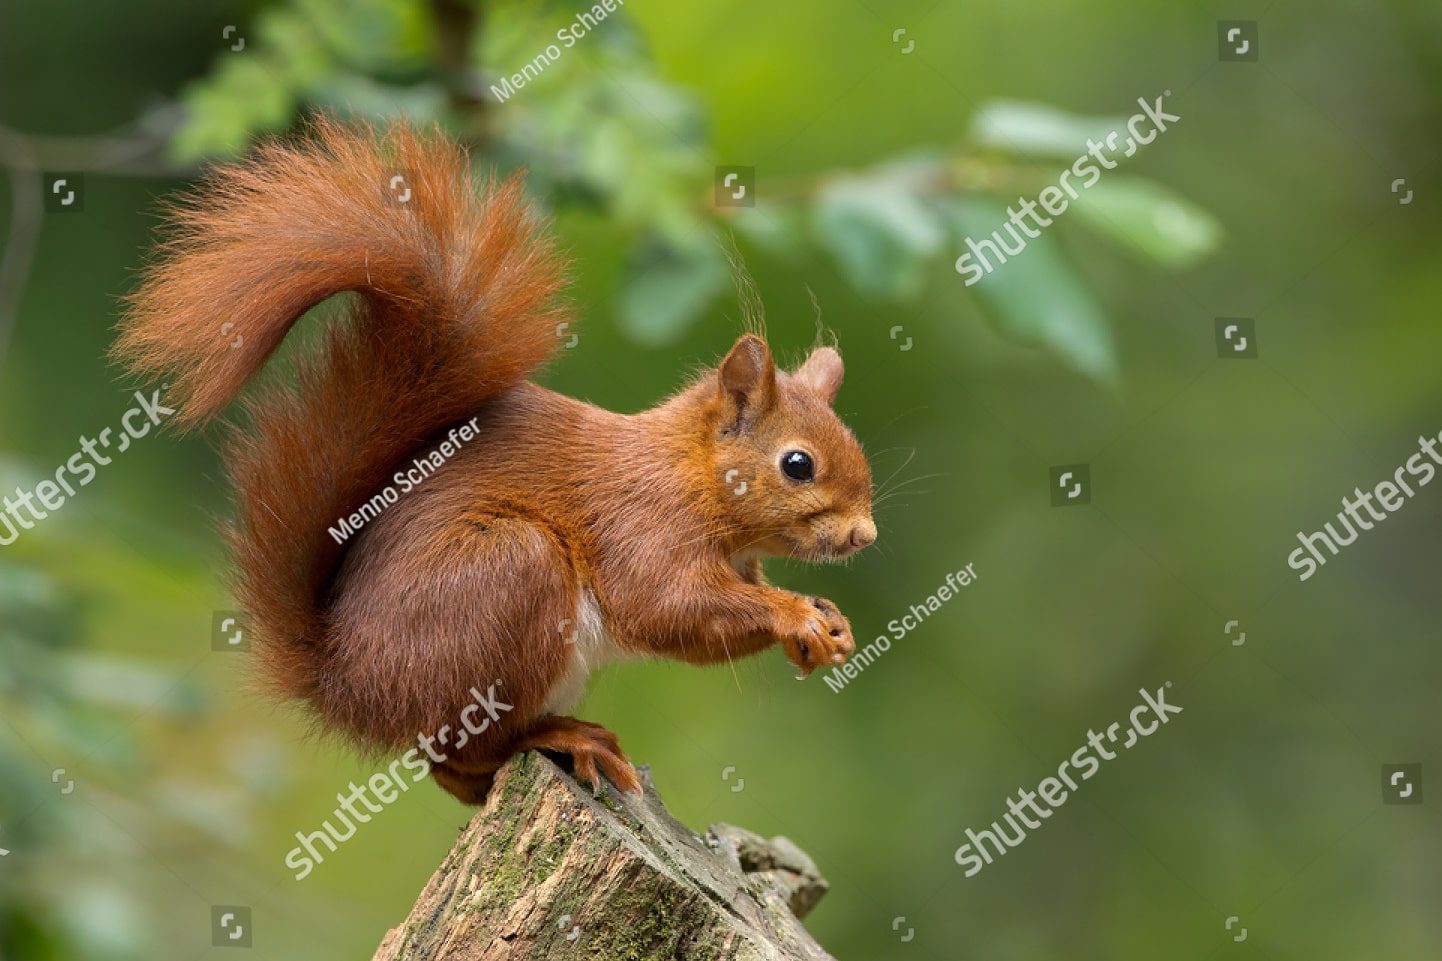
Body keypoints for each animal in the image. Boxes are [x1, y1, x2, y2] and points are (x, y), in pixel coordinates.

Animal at [114, 118, 876, 803]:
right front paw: (795, 615)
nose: (864, 535)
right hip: (508, 575)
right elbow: (668, 607)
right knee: (464, 753)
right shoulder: (643, 524)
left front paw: (828, 624)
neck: (689, 473)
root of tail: (347, 687)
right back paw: (562, 736)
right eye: (798, 464)